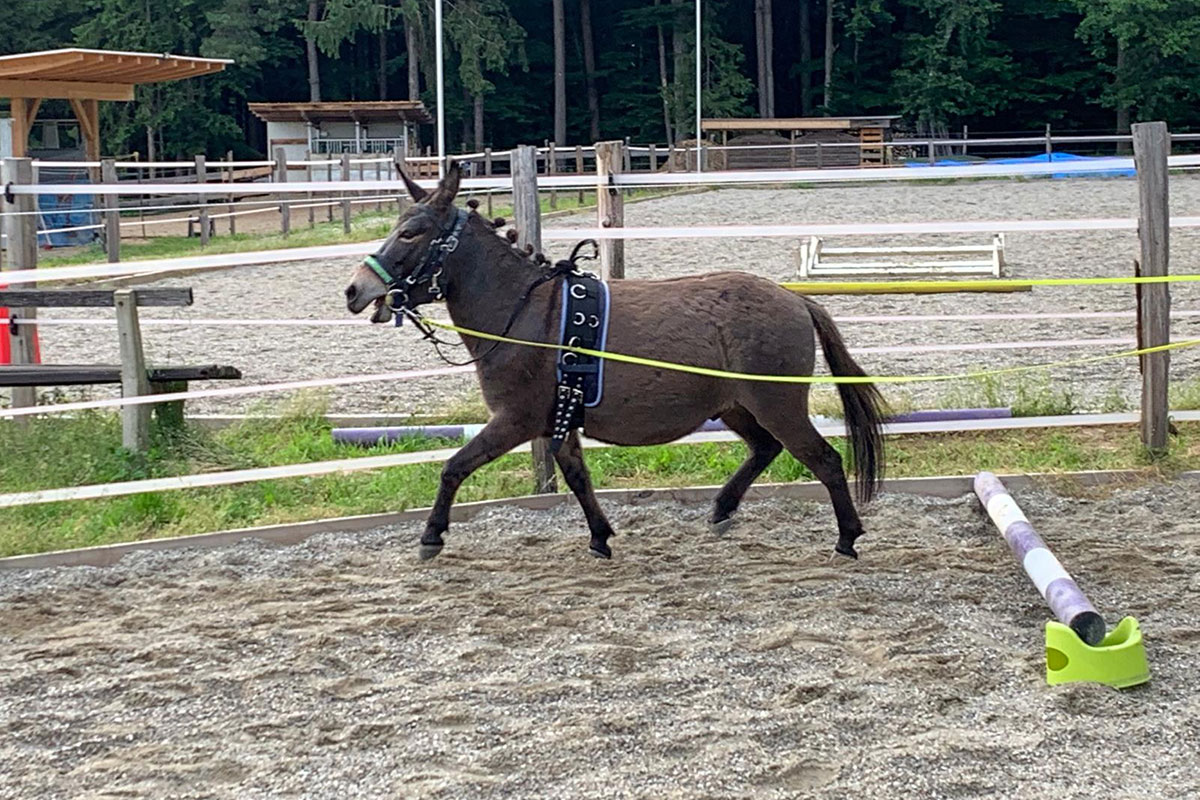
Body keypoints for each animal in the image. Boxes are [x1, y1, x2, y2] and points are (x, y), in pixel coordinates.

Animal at [344, 162, 886, 562]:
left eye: (412, 233)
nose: (355, 290)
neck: (525, 313)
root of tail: (795, 299)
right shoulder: (558, 421)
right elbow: (578, 479)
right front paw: (600, 537)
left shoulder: (515, 420)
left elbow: (453, 468)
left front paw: (431, 536)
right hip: (737, 405)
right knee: (765, 449)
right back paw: (722, 509)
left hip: (777, 403)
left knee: (823, 459)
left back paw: (847, 537)